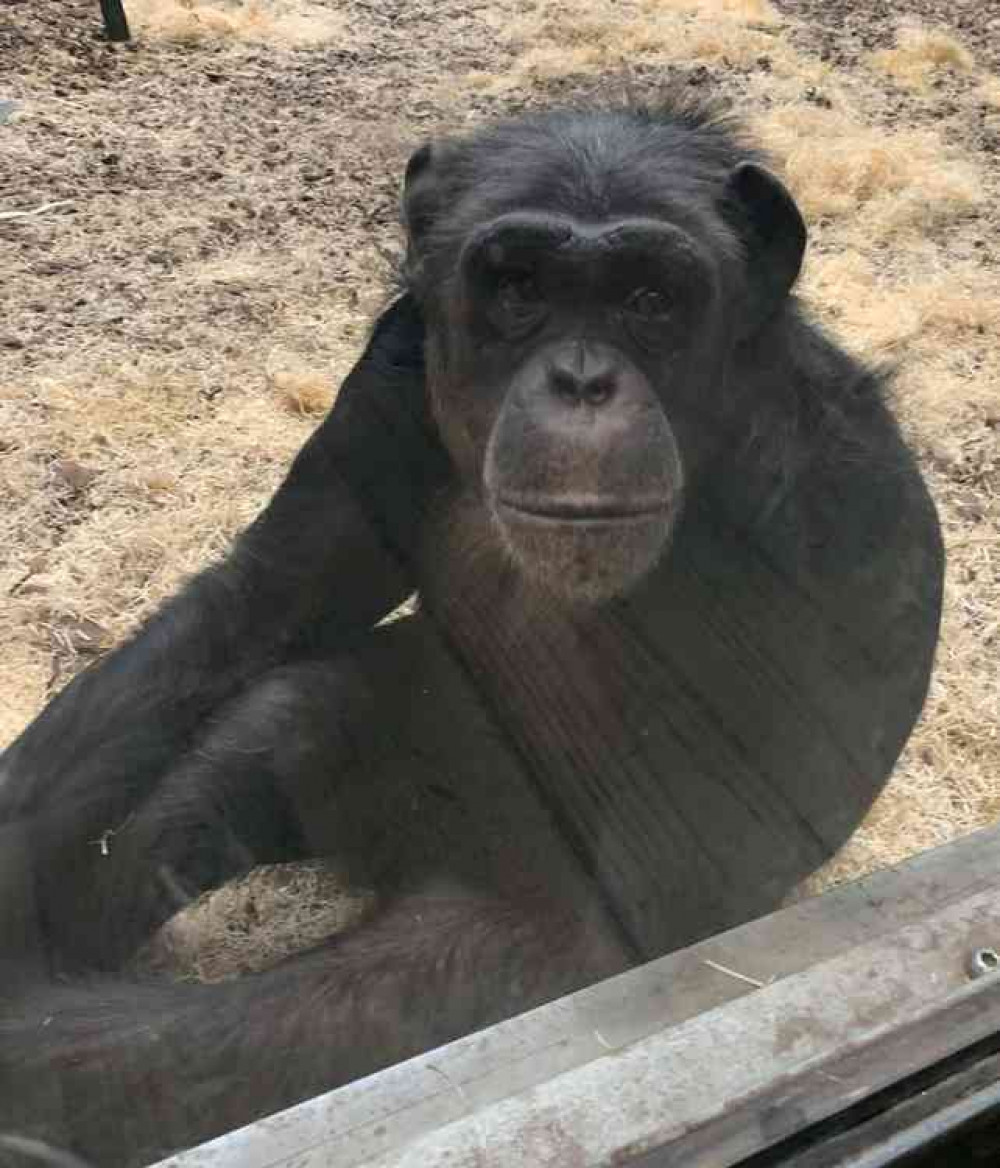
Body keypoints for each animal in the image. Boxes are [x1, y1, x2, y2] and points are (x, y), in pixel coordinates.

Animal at [0, 95, 939, 1163]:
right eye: (520, 288)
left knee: (322, 1018)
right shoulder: (388, 380)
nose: (581, 379)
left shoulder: (834, 487)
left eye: (651, 299)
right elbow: (269, 593)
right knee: (278, 723)